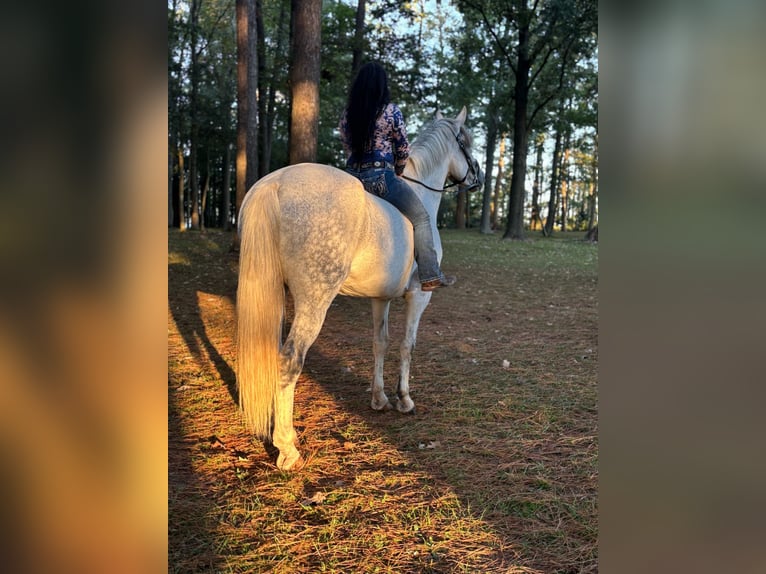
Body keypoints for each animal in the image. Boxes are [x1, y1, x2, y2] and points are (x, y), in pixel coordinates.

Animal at [236, 107, 483, 470]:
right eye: (465, 141)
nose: (478, 177)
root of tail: (275, 183)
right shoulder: (419, 296)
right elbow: (407, 345)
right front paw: (404, 399)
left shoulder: (380, 298)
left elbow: (380, 343)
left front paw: (379, 398)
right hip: (315, 301)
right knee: (289, 360)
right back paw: (287, 447)